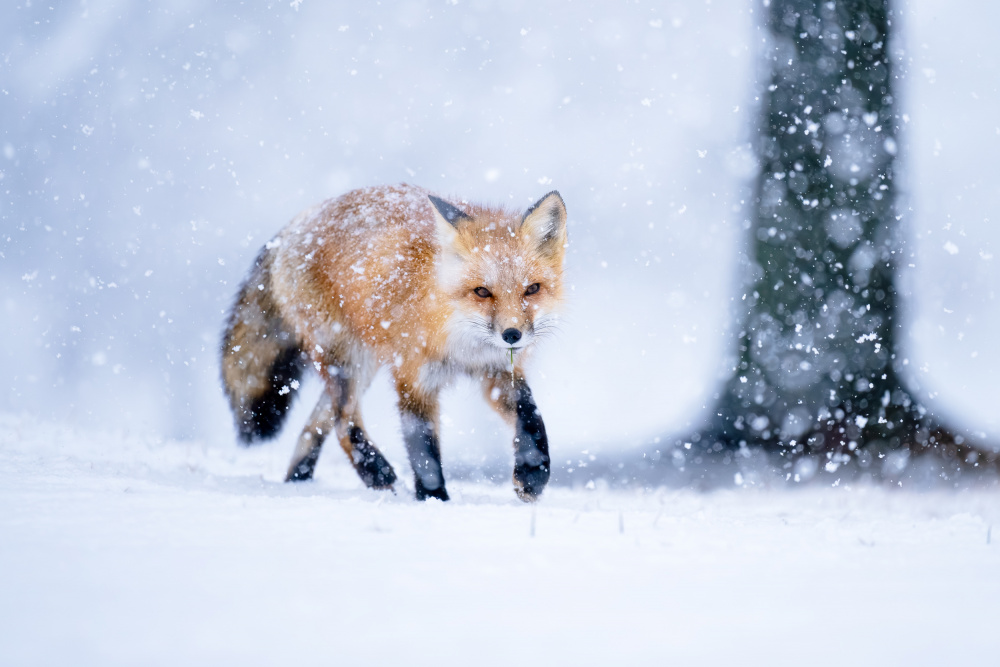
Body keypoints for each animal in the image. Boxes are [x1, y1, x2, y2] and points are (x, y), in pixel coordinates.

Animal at [220, 183, 567, 502]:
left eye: (532, 289)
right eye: (482, 292)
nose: (512, 335)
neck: (462, 346)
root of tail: (295, 224)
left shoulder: (498, 373)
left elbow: (531, 418)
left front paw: (533, 474)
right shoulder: (413, 379)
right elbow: (424, 454)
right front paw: (434, 500)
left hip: (362, 364)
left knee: (314, 425)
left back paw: (298, 482)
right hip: (347, 360)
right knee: (343, 423)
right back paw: (376, 473)